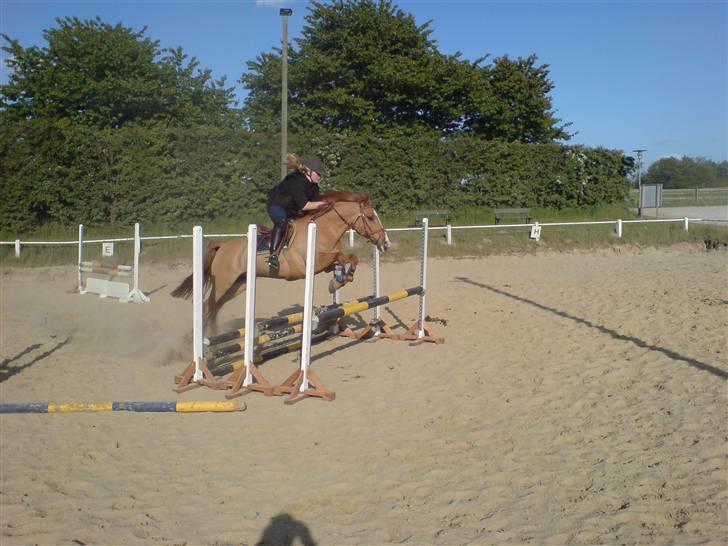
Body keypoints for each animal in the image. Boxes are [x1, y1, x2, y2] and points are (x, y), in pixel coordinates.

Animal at [171, 190, 390, 326]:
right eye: (371, 217)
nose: (385, 243)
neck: (323, 229)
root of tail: (222, 246)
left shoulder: (324, 264)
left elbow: (349, 258)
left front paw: (338, 281)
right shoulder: (311, 264)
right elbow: (341, 256)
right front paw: (338, 281)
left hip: (237, 286)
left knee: (213, 309)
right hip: (224, 283)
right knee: (206, 307)